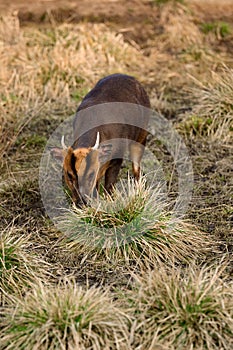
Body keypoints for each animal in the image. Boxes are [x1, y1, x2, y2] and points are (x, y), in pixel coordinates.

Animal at [51, 73, 150, 206]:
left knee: (136, 168)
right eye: (69, 175)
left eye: (91, 173)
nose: (81, 202)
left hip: (141, 135)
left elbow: (109, 186)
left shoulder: (117, 157)